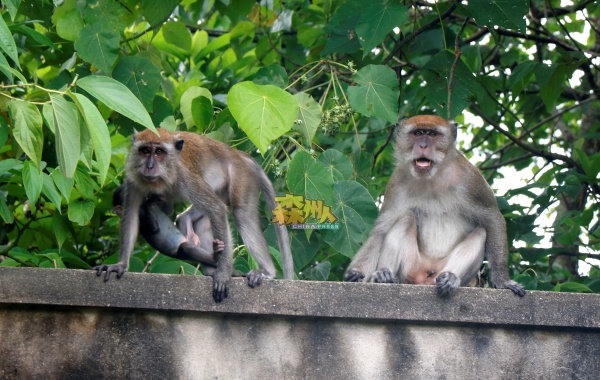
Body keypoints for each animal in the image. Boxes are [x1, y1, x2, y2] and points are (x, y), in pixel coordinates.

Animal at [94, 128, 296, 302]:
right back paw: (211, 265)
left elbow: (216, 208)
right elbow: (131, 215)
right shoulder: (133, 178)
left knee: (242, 215)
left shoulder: (184, 176)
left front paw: (223, 274)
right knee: (196, 219)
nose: (150, 166)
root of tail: (239, 155)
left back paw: (265, 272)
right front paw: (120, 265)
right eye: (145, 151)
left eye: (159, 152)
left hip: (242, 178)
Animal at [342, 114, 524, 298]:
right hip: (411, 267)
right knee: (405, 218)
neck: (431, 177)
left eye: (432, 134)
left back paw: (450, 278)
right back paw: (384, 276)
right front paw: (356, 272)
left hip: (440, 270)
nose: (423, 145)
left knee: (481, 232)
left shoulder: (471, 179)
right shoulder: (396, 182)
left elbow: (492, 218)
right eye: (418, 133)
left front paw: (502, 280)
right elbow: (381, 230)